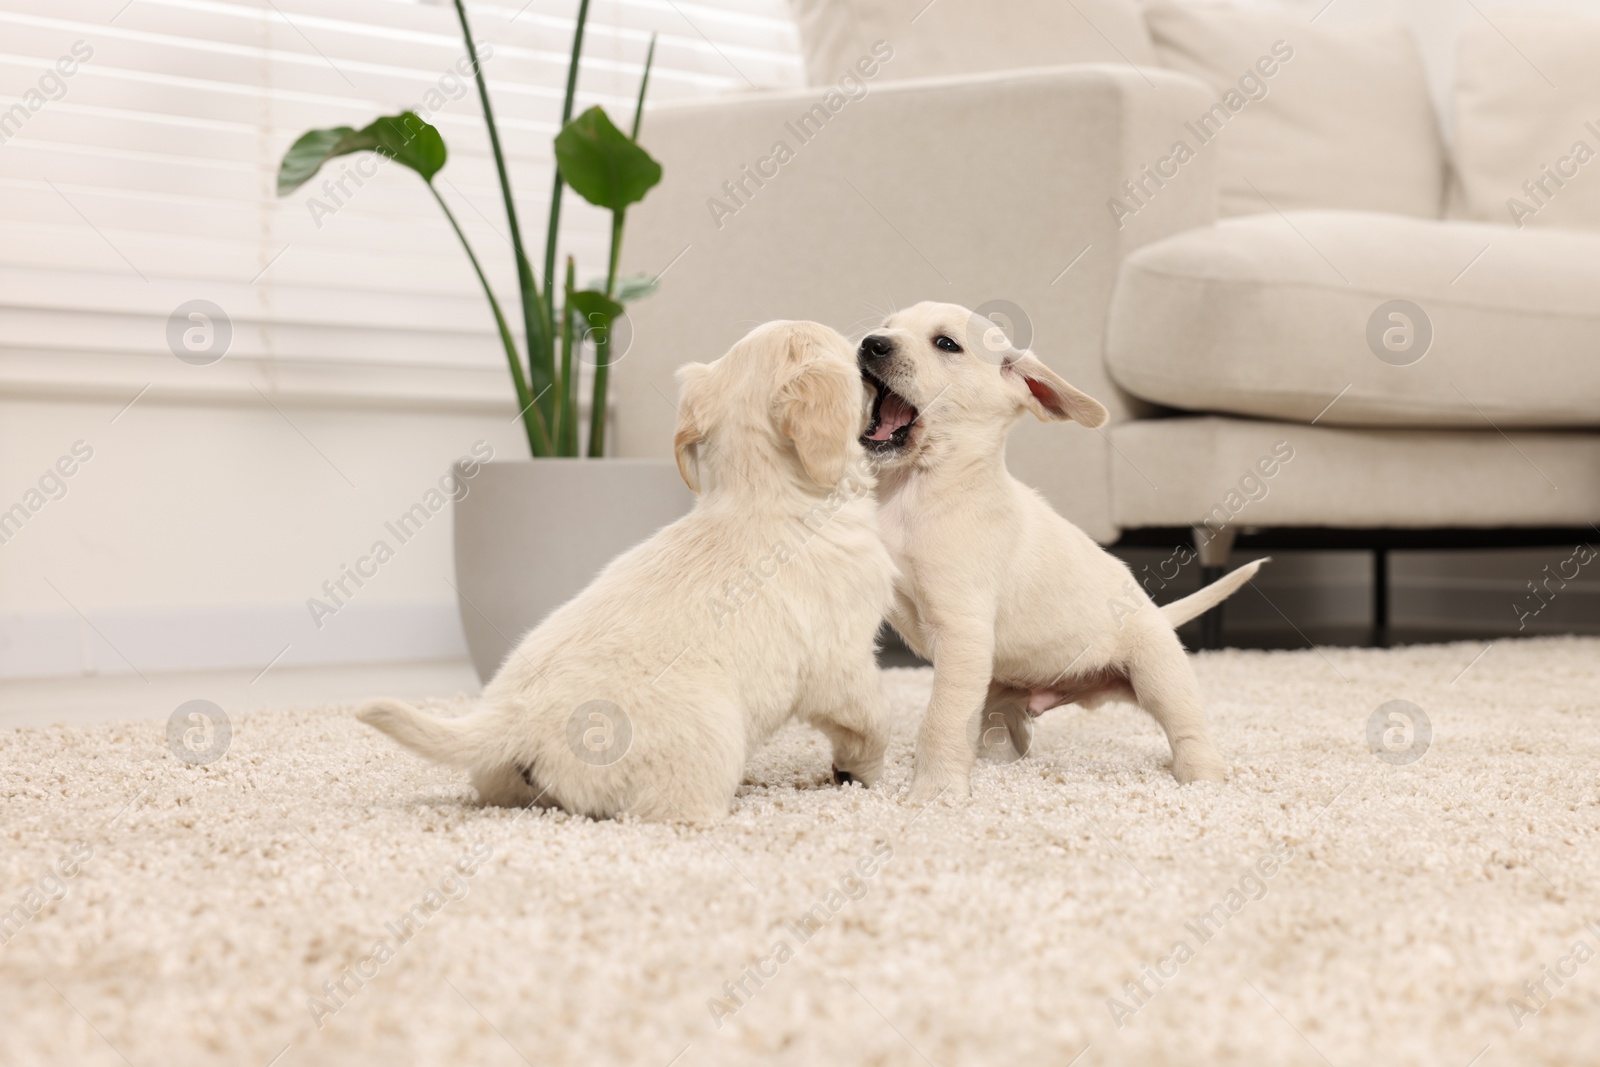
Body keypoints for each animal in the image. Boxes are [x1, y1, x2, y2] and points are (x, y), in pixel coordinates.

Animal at [355, 321, 896, 825]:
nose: (870, 347)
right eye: (854, 366)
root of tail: (515, 721)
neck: (763, 493)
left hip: (500, 776)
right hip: (708, 746)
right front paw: (863, 775)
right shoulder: (843, 662)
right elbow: (870, 720)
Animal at [857, 300, 1267, 799]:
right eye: (888, 327)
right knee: (1003, 727)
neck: (912, 491)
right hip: (1002, 689)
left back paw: (1202, 780)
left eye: (946, 343)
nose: (871, 343)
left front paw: (936, 791)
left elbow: (943, 720)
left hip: (1159, 673)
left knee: (1189, 730)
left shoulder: (961, 634)